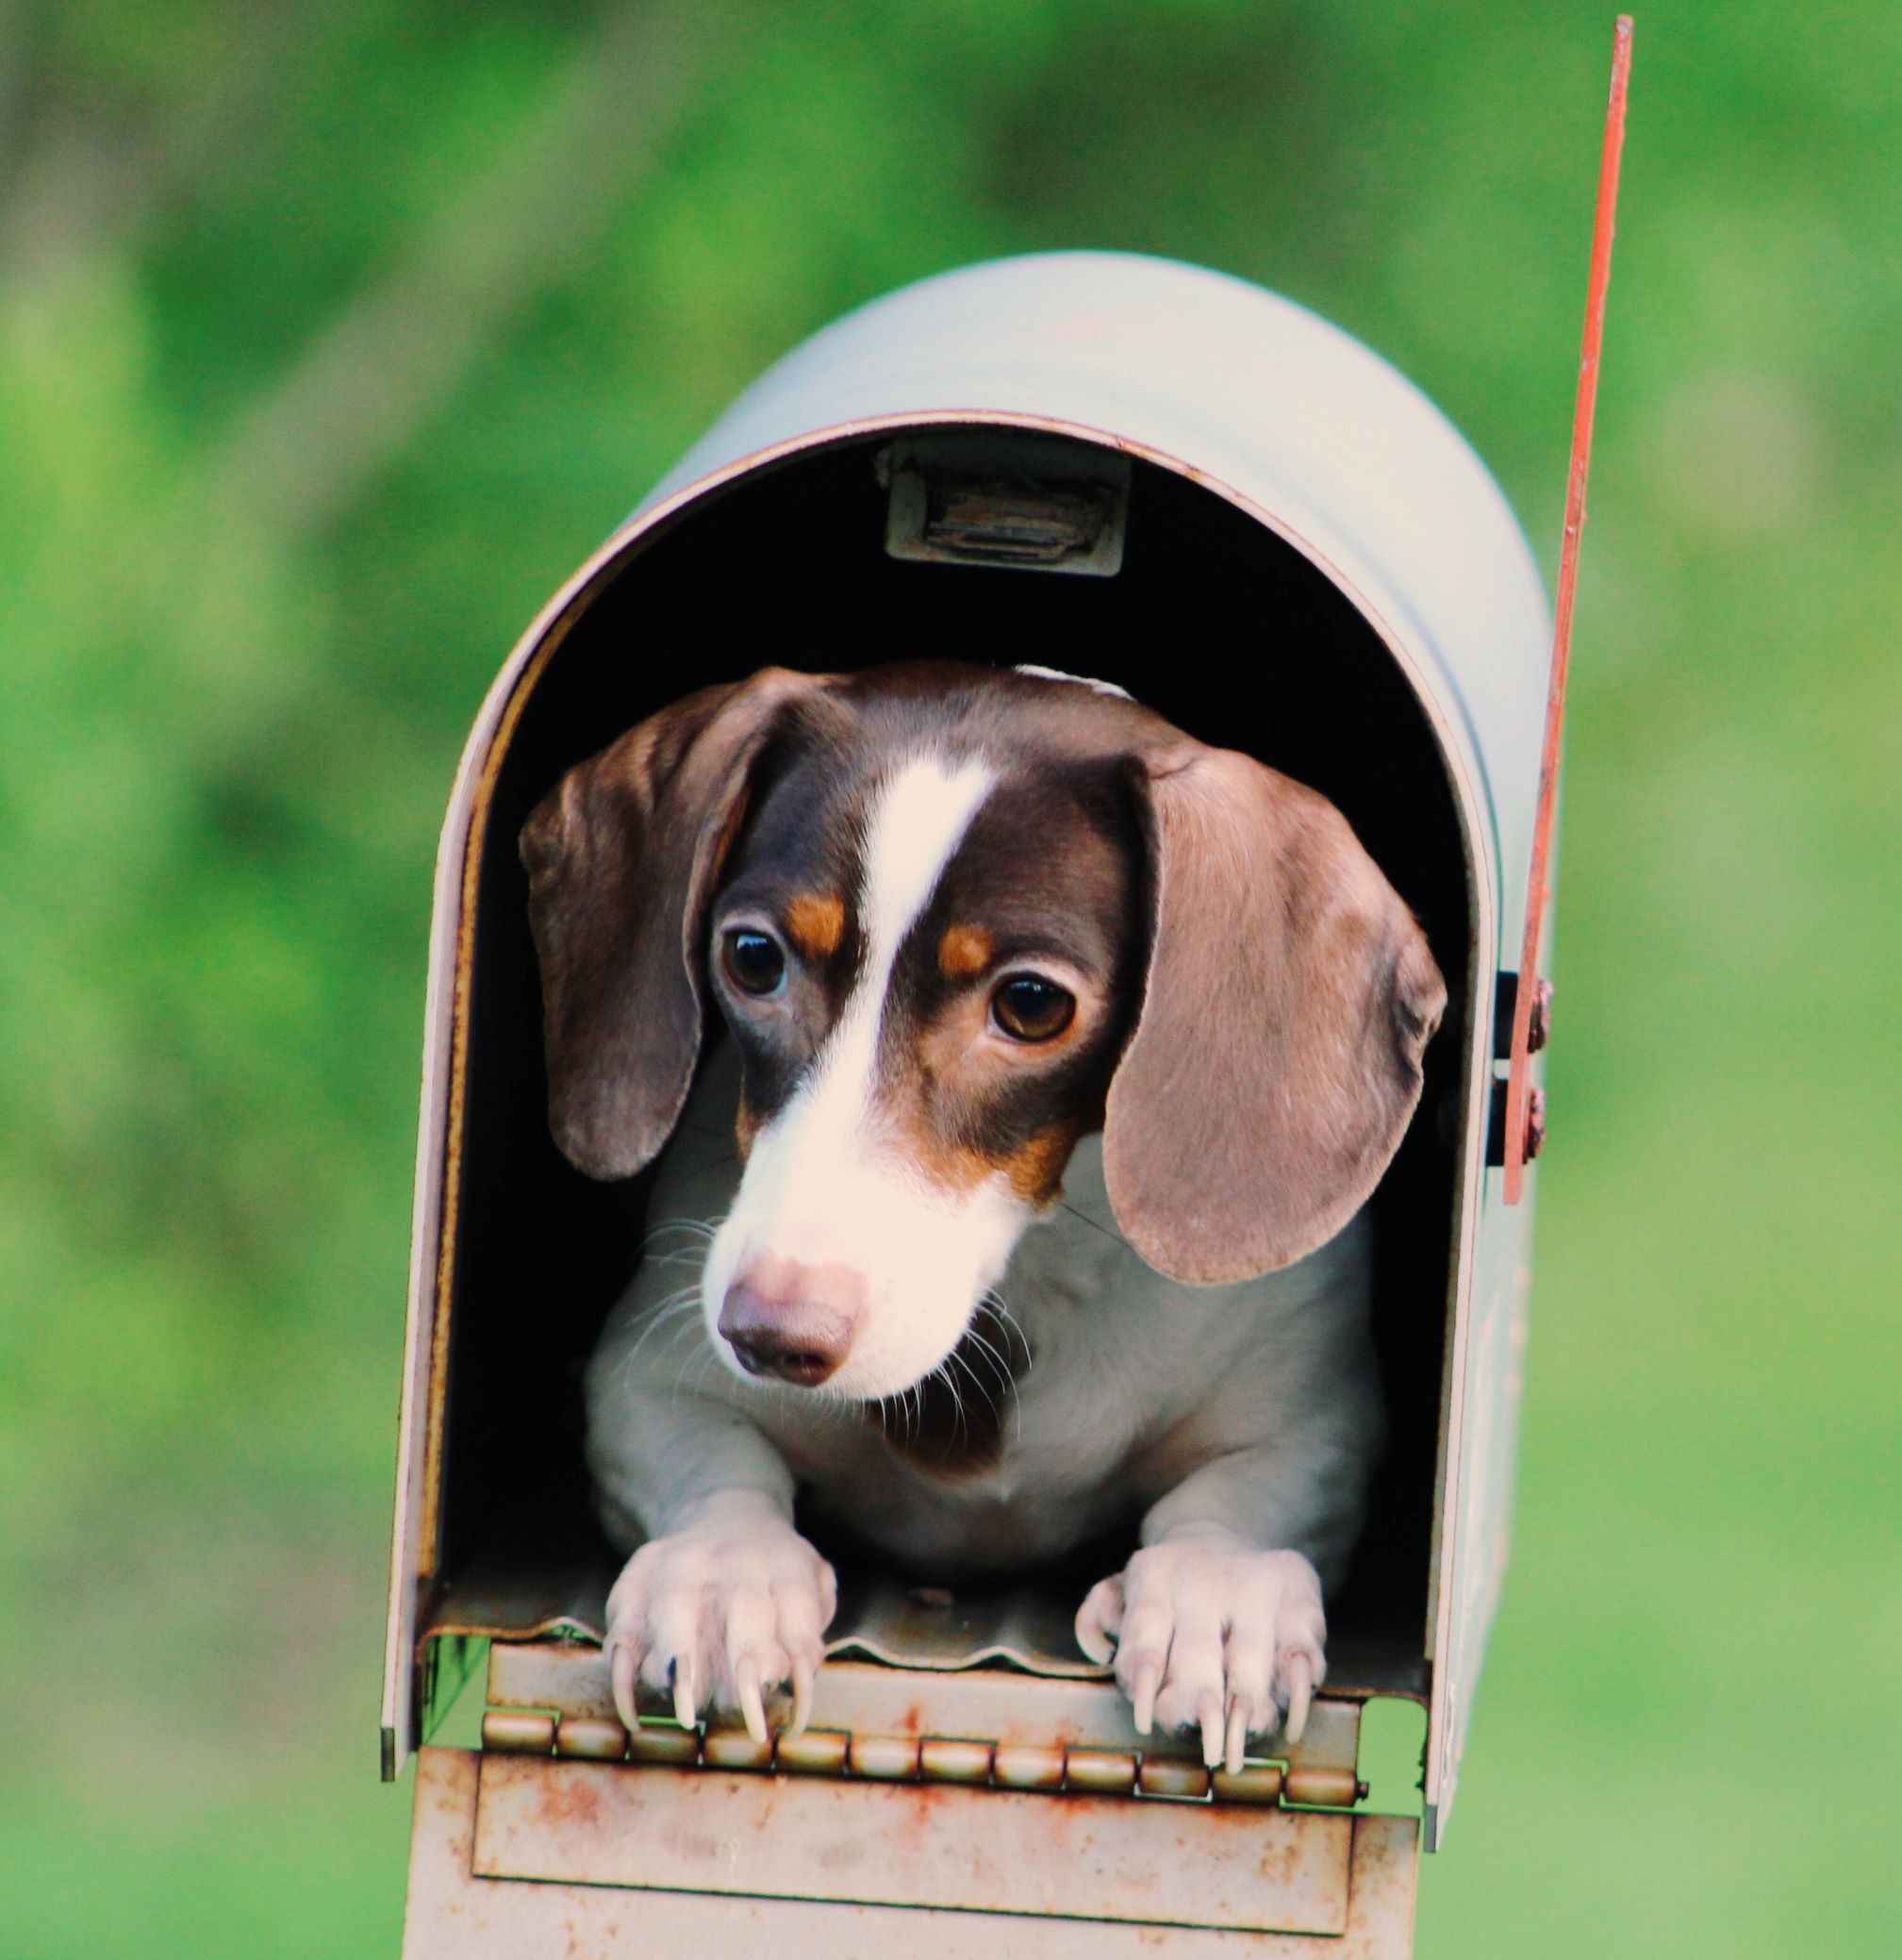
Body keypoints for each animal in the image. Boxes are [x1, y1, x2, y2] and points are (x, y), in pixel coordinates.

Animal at [521, 658, 1441, 1779]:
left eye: (1032, 1004)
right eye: (750, 956)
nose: (770, 1335)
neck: (1028, 1273)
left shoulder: (1314, 1424)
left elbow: (1231, 1502)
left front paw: (1219, 1599)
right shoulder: (642, 1381)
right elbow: (714, 1466)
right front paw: (719, 1575)